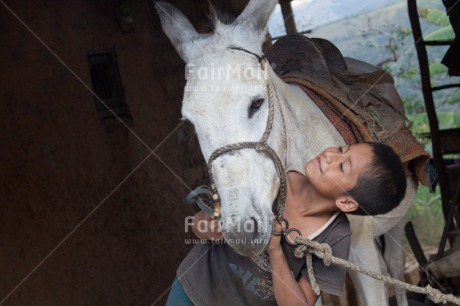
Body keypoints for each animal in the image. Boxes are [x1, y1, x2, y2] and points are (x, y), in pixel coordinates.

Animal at [155, 1, 416, 304]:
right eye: (190, 121)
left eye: (257, 103)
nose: (242, 233)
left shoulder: (362, 252)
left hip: (395, 224)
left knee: (394, 266)